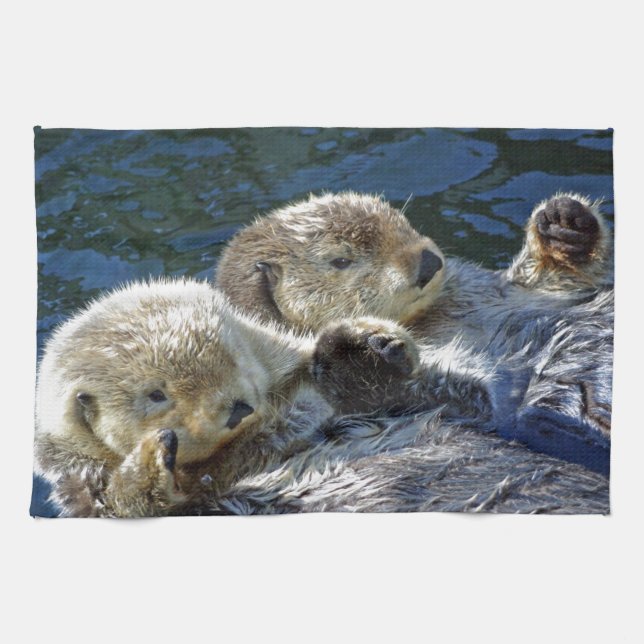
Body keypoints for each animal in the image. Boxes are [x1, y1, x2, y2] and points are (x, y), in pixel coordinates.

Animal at [34, 278, 423, 517]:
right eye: (156, 395)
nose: (238, 407)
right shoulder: (86, 490)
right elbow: (131, 504)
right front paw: (152, 455)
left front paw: (371, 342)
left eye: (232, 356)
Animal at [215, 192, 613, 475]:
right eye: (340, 261)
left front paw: (563, 224)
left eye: (402, 223)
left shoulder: (491, 289)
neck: (428, 319)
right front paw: (361, 352)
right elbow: (476, 399)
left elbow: (549, 282)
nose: (428, 262)